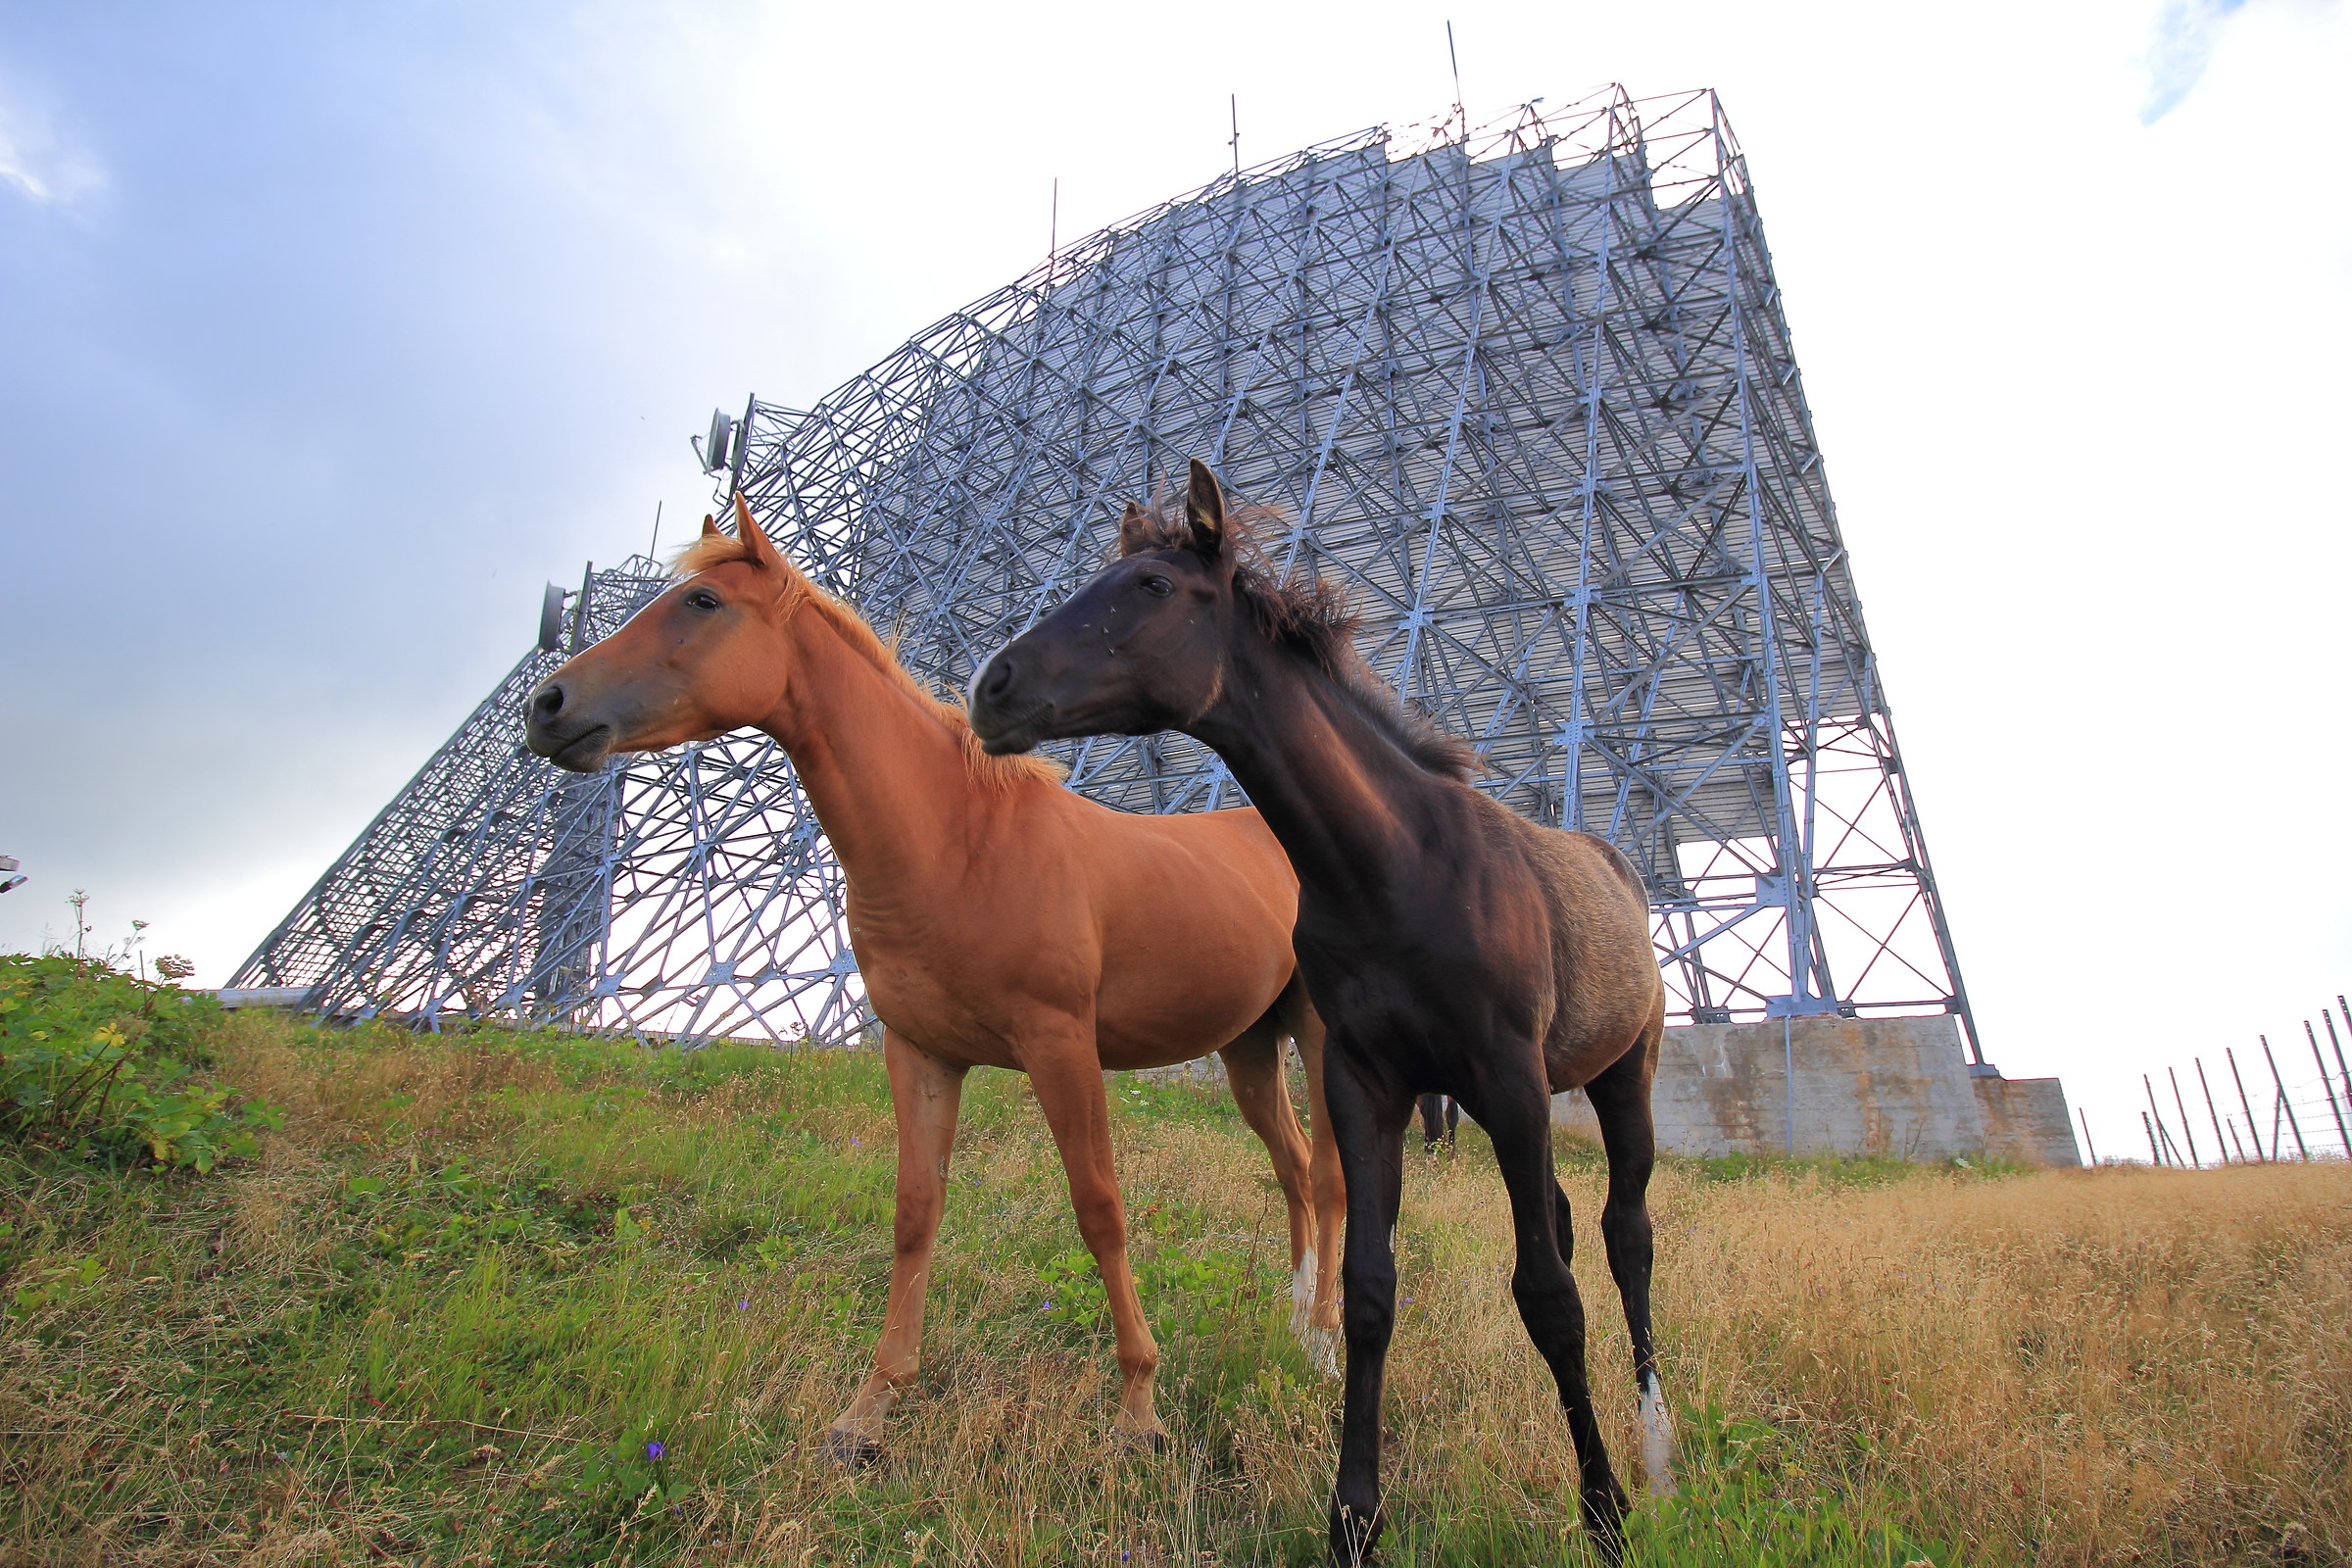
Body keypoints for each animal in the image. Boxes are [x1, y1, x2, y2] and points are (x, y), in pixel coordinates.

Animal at [522, 494, 1345, 1457]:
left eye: (702, 603)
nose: (547, 705)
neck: (958, 841)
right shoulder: (920, 1055)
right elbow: (915, 1215)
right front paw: (870, 1408)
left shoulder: (1061, 1048)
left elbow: (1100, 1208)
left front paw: (1139, 1406)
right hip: (1248, 1047)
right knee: (1293, 1169)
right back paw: (1294, 1319)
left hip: (1317, 1038)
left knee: (1330, 1178)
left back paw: (1322, 1348)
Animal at [968, 460, 1673, 1565]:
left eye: (1152, 587)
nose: (990, 688)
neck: (1399, 866)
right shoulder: (1368, 1081)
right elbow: (1373, 1288)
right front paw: (1352, 1516)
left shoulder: (1509, 1078)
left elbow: (1552, 1297)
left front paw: (1603, 1511)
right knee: (1565, 1220)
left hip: (1617, 1076)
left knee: (1623, 1235)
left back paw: (1654, 1451)